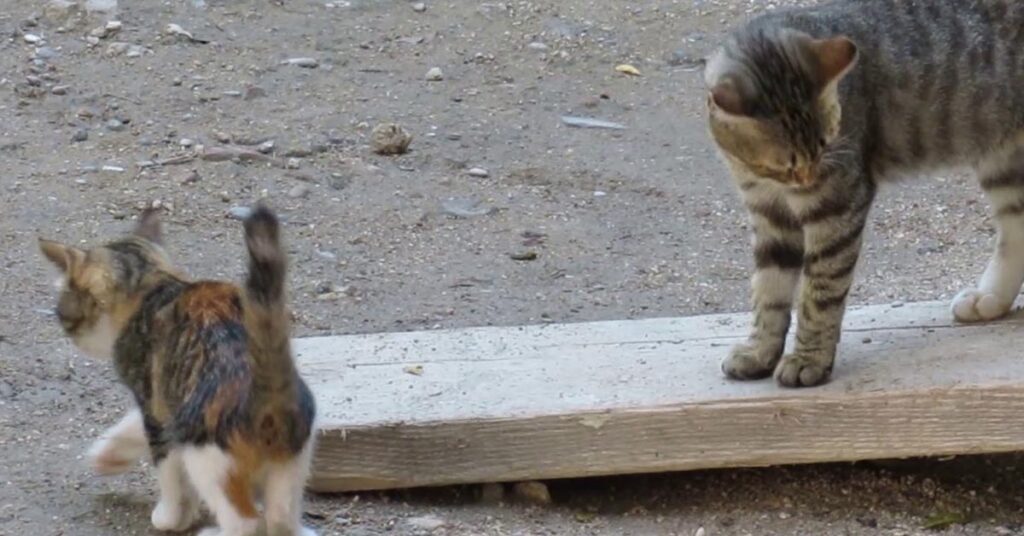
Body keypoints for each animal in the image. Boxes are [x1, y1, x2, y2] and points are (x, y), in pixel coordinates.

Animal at [37, 203, 315, 532]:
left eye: (62, 314)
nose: (72, 336)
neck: (154, 284)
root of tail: (267, 391)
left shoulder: (152, 405)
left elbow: (167, 470)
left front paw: (169, 516)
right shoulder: (166, 401)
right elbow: (136, 426)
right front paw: (111, 454)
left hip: (206, 454)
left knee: (244, 522)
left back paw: (215, 531)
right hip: (294, 458)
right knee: (281, 517)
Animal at [700, 0, 1024, 387]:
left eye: (825, 144)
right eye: (784, 166)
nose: (808, 179)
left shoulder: (835, 203)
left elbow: (819, 292)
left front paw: (809, 358)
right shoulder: (769, 212)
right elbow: (769, 290)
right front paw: (760, 350)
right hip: (1003, 161)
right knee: (1017, 230)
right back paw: (991, 297)